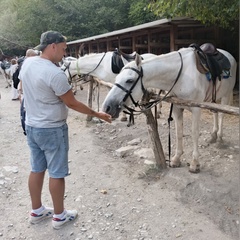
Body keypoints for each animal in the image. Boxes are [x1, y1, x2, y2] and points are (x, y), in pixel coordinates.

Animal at [101, 46, 236, 172]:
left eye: (129, 80)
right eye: (117, 78)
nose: (107, 107)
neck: (181, 76)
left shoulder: (196, 109)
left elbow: (194, 133)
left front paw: (194, 163)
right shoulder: (176, 108)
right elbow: (178, 133)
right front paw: (176, 159)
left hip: (225, 95)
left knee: (221, 114)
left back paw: (219, 138)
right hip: (214, 98)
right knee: (215, 112)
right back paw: (213, 136)